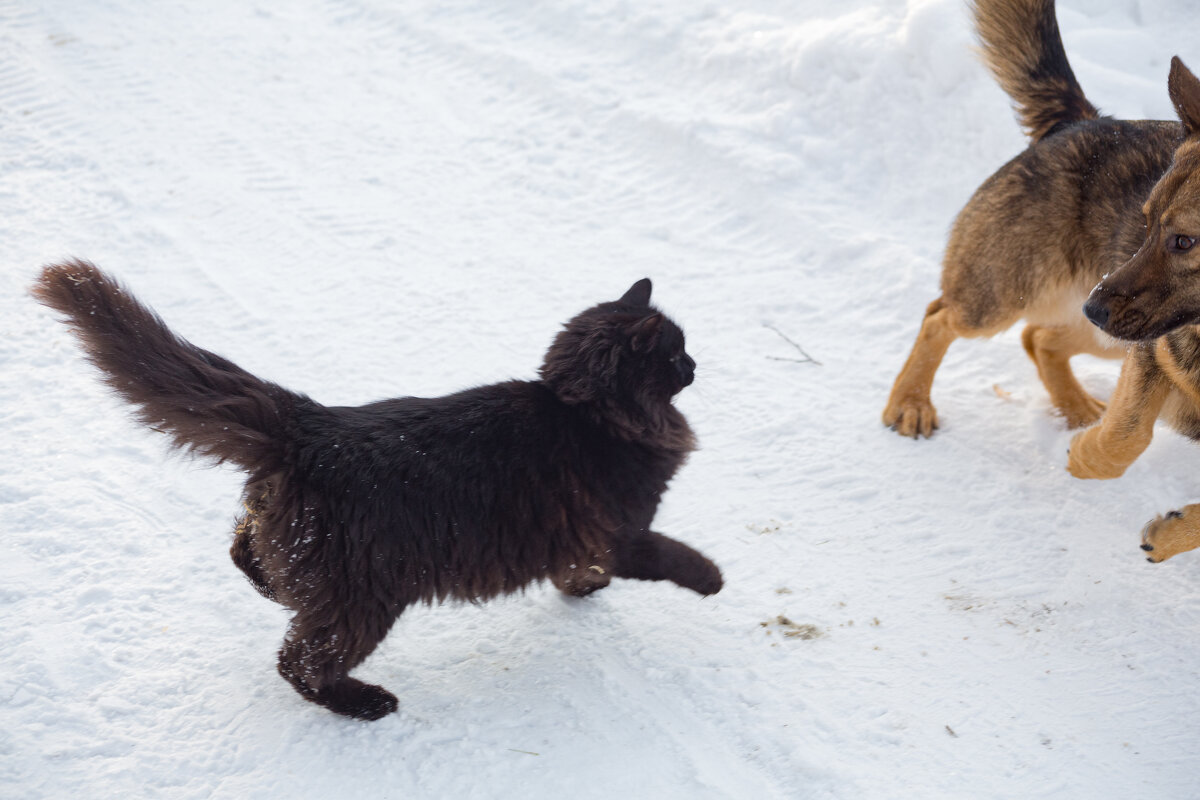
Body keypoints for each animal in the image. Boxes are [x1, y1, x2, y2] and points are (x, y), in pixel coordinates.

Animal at [32, 261, 715, 719]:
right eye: (675, 354)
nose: (695, 365)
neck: (588, 411)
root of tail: (311, 425)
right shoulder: (621, 531)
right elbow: (671, 555)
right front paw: (711, 580)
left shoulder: (582, 537)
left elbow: (578, 569)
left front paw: (581, 590)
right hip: (366, 600)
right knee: (299, 662)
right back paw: (365, 703)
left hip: (301, 546)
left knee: (243, 550)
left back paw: (269, 586)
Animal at [878, 0, 1200, 563]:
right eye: (1147, 222)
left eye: (1184, 241)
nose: (1094, 306)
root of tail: (1085, 119)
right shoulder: (1149, 356)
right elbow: (1125, 439)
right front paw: (1086, 456)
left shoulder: (1138, 341)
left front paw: (1170, 536)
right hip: (1011, 296)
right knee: (942, 316)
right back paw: (912, 401)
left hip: (1106, 334)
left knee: (1040, 337)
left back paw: (1075, 408)